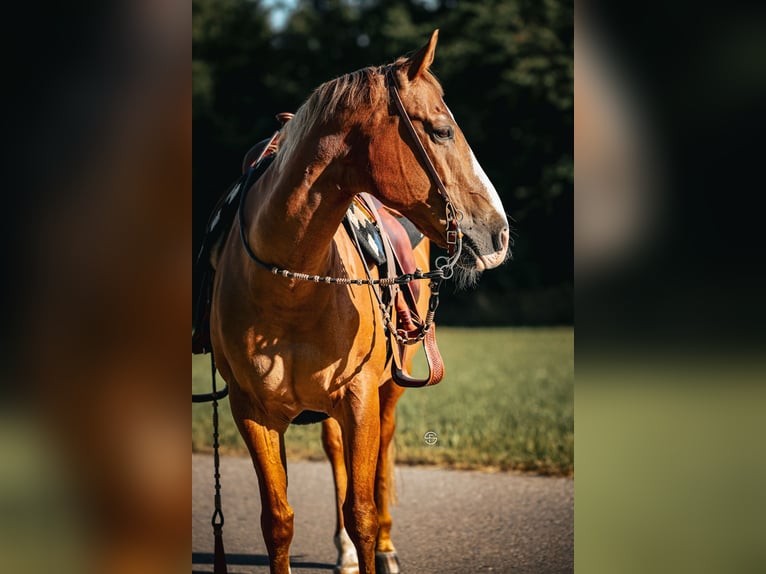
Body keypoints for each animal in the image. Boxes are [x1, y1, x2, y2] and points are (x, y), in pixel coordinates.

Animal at [209, 30, 509, 574]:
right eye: (441, 131)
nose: (499, 233)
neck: (290, 286)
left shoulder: (361, 397)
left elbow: (363, 512)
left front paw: (375, 542)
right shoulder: (251, 410)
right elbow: (278, 521)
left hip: (390, 386)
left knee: (384, 450)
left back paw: (386, 547)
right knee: (335, 453)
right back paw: (344, 551)